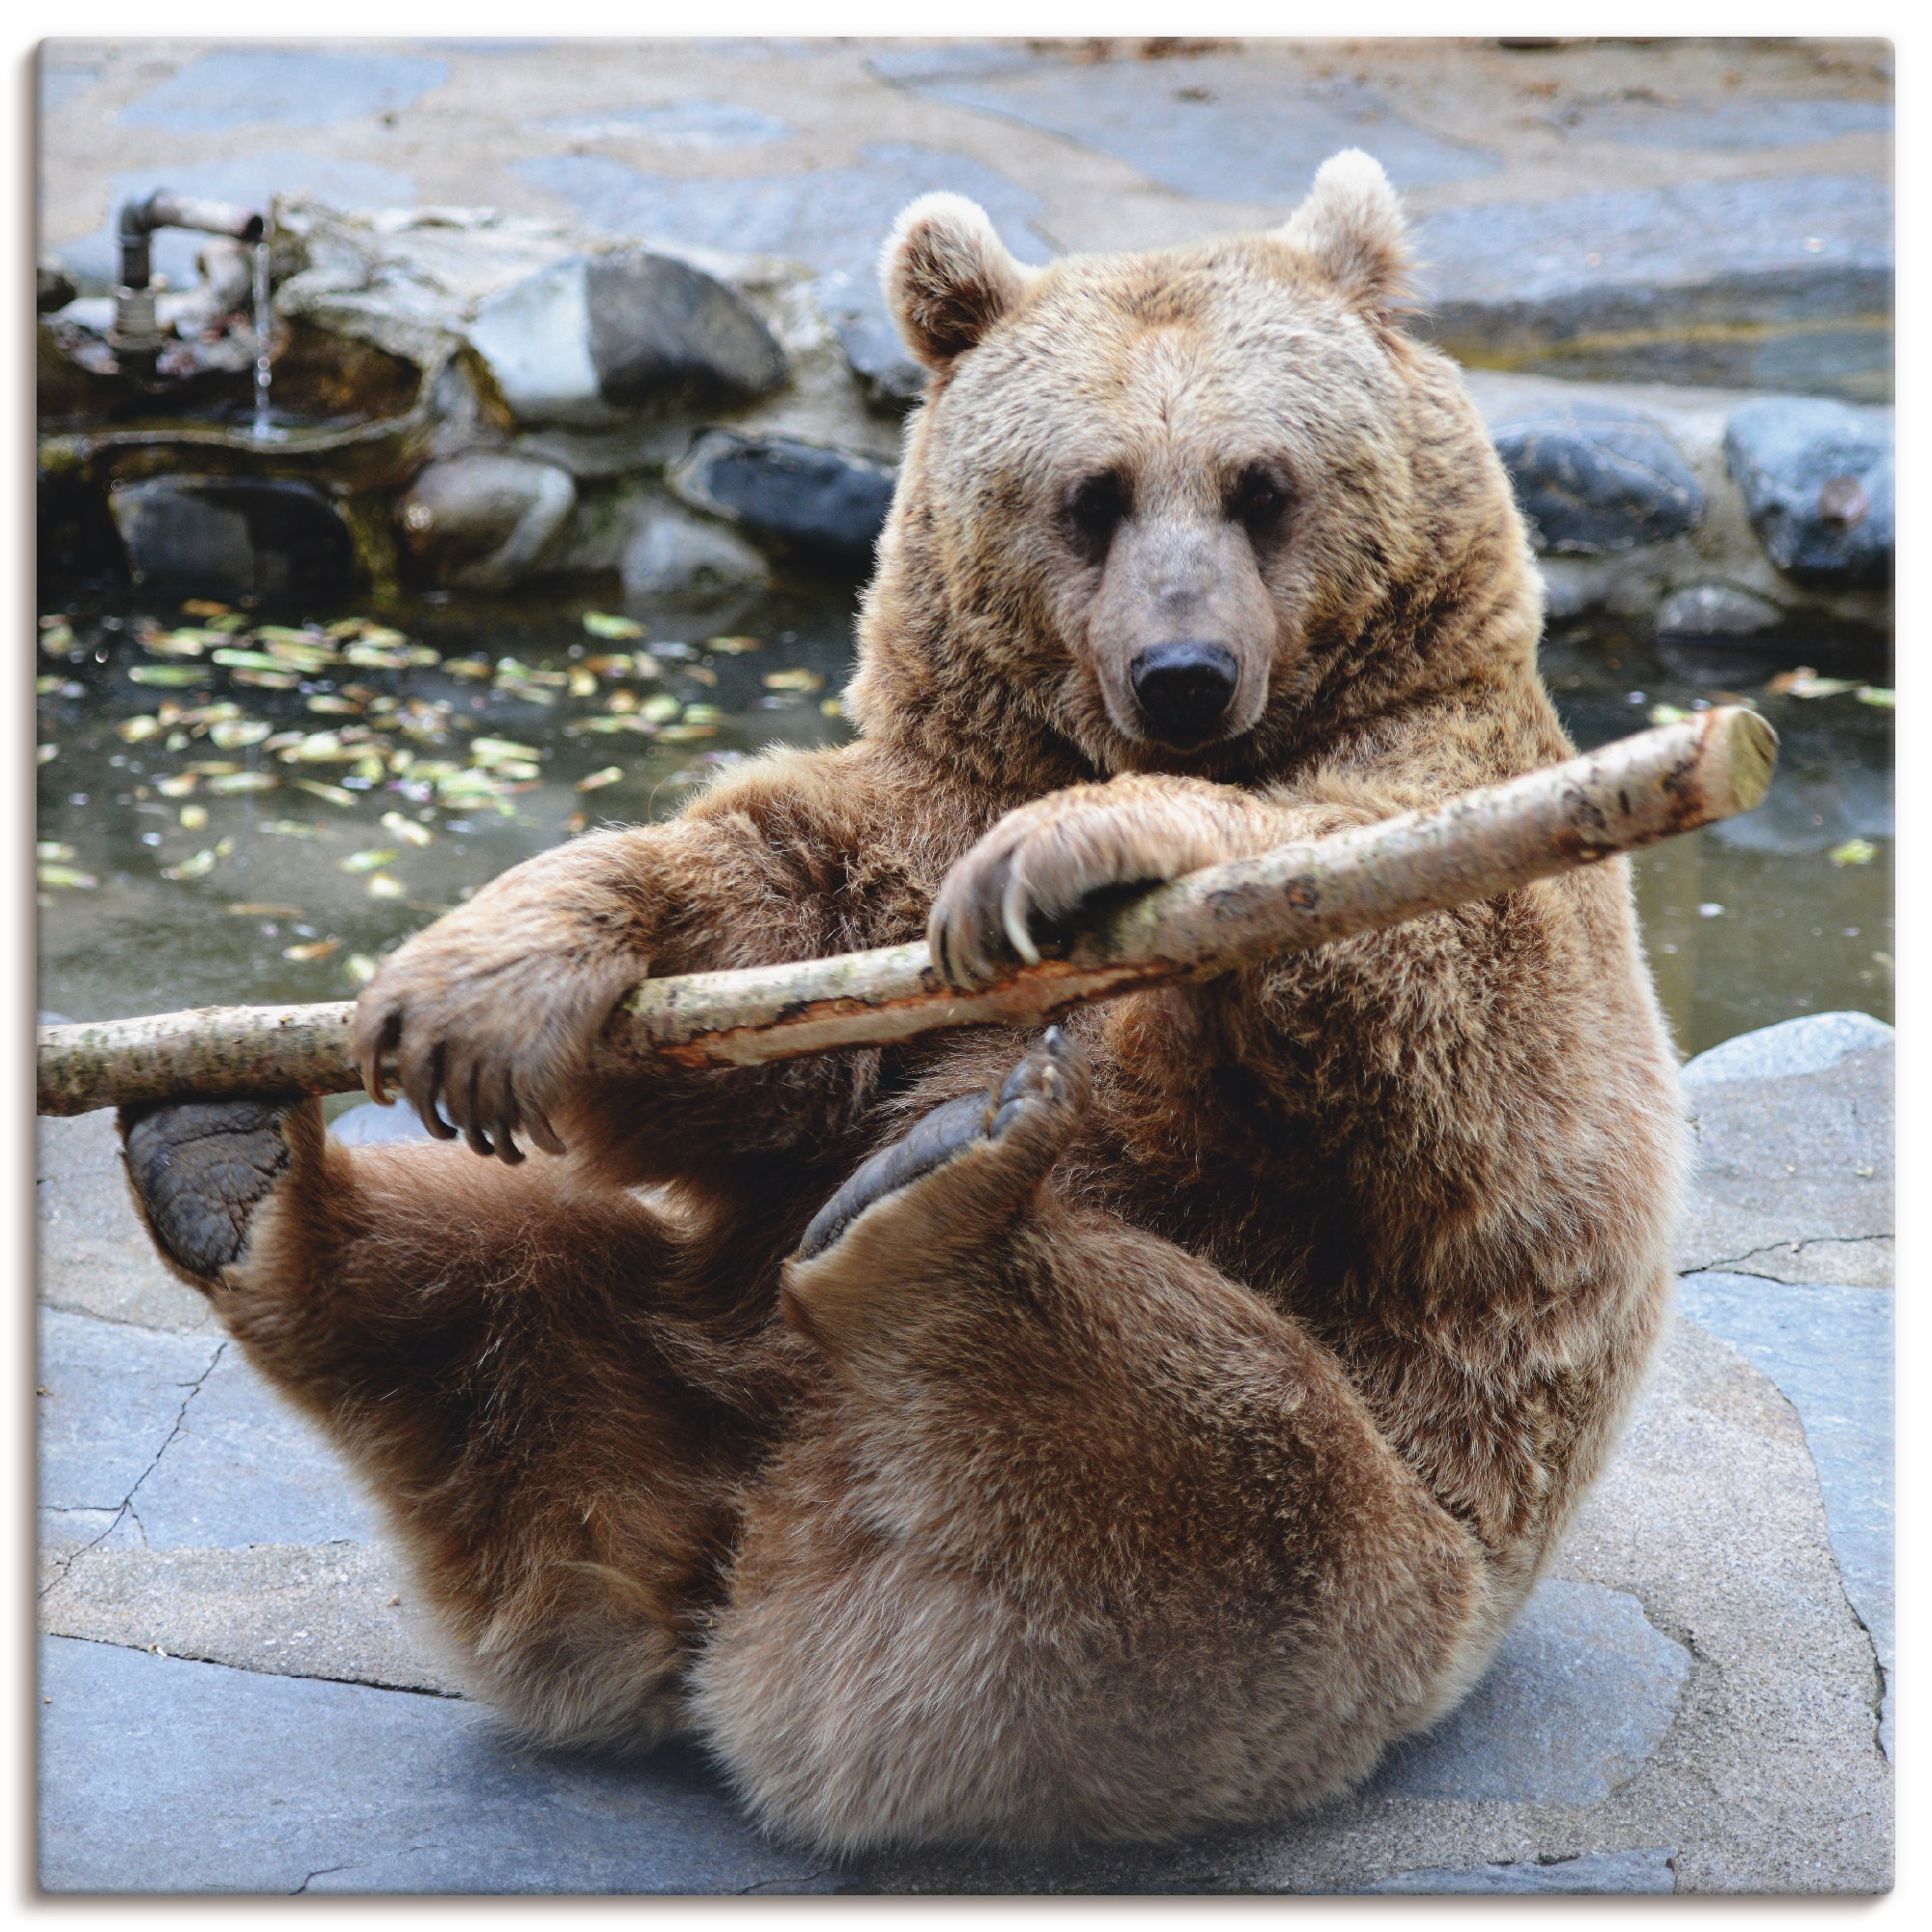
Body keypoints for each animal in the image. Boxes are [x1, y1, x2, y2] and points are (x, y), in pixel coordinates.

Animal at [116, 150, 1684, 1856]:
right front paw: (494, 973)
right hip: (656, 1382)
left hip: (1349, 1587)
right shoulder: (927, 804)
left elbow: (1434, 1040)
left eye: (1262, 485)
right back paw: (231, 1174)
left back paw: (933, 1219)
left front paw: (1098, 850)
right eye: (1093, 494)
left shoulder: (1467, 804)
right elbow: (763, 967)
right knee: (502, 1306)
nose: (1184, 673)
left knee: (1193, 1457)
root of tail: (744, 1585)